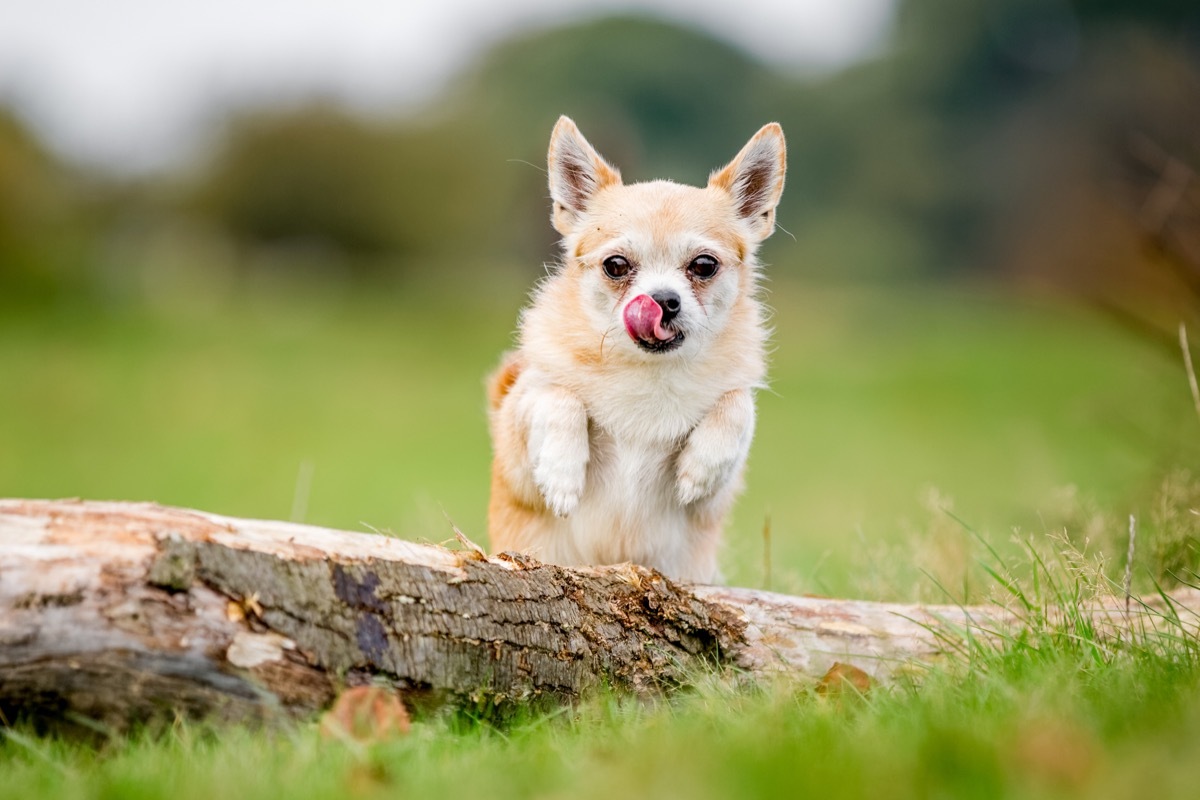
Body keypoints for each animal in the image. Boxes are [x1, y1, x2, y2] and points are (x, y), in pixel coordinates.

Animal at [487, 115, 787, 582]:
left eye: (704, 265)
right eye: (616, 266)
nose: (662, 300)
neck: (646, 373)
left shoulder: (716, 498)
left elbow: (739, 404)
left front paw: (699, 468)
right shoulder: (516, 449)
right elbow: (558, 395)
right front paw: (562, 472)